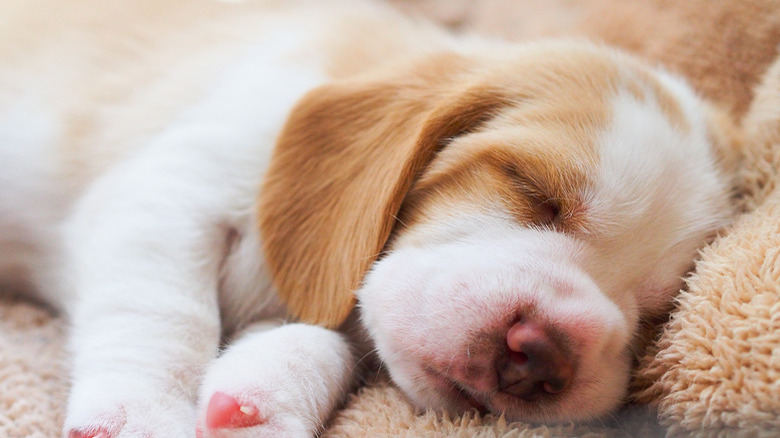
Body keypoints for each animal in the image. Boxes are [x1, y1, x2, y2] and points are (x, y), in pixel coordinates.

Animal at [0, 0, 736, 438]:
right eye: (530, 189)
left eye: (652, 314)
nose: (542, 353)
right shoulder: (167, 193)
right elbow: (165, 317)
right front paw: (145, 417)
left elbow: (320, 339)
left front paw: (263, 397)